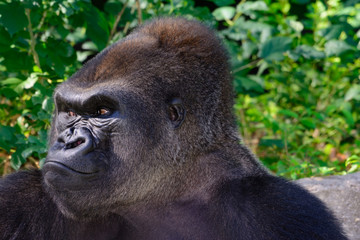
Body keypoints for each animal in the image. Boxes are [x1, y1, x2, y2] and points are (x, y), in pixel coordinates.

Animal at [0, 17, 348, 239]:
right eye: (69, 111)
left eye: (102, 112)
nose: (67, 140)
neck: (167, 189)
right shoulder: (19, 197)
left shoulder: (282, 210)